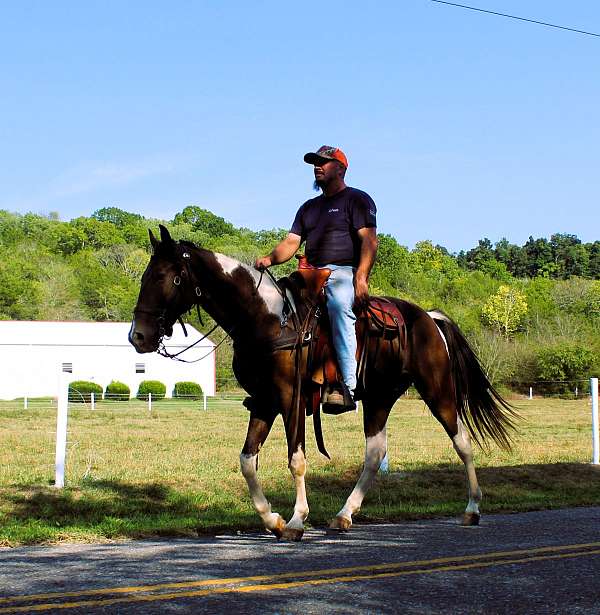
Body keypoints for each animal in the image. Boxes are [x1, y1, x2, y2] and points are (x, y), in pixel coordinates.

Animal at [130, 225, 516, 540]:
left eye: (167, 278)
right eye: (145, 276)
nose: (139, 336)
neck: (267, 319)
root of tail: (429, 318)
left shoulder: (291, 399)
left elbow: (296, 459)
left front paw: (296, 520)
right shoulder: (263, 401)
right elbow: (247, 461)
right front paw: (273, 520)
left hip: (438, 391)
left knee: (462, 441)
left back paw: (472, 509)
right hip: (379, 398)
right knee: (375, 453)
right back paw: (345, 514)